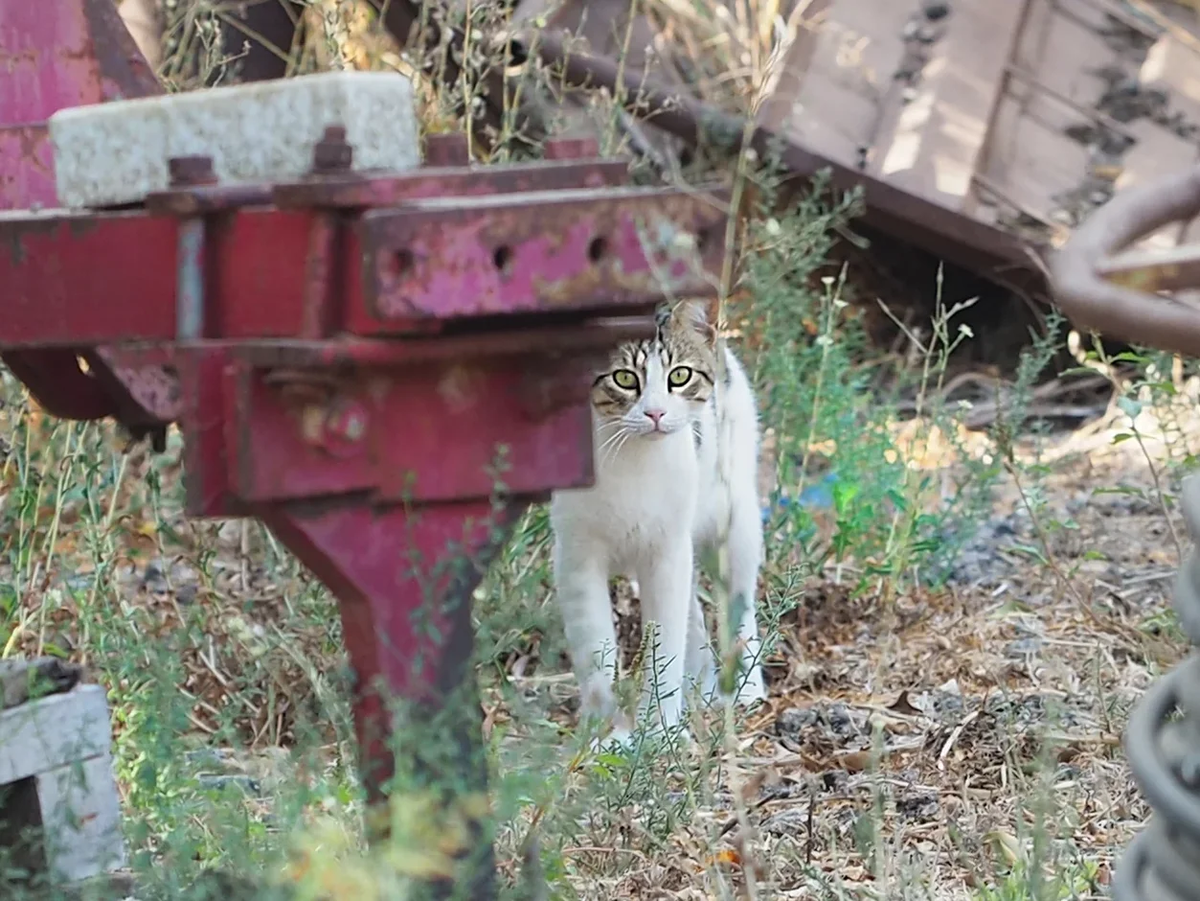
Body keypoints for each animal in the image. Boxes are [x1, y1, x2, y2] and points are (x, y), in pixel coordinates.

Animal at [552, 299, 768, 743]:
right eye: (624, 378)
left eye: (679, 376)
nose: (654, 412)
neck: (632, 457)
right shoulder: (576, 556)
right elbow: (596, 649)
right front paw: (607, 735)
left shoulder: (667, 550)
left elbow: (665, 644)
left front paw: (661, 733)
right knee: (695, 618)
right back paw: (702, 689)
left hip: (735, 519)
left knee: (740, 606)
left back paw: (745, 688)